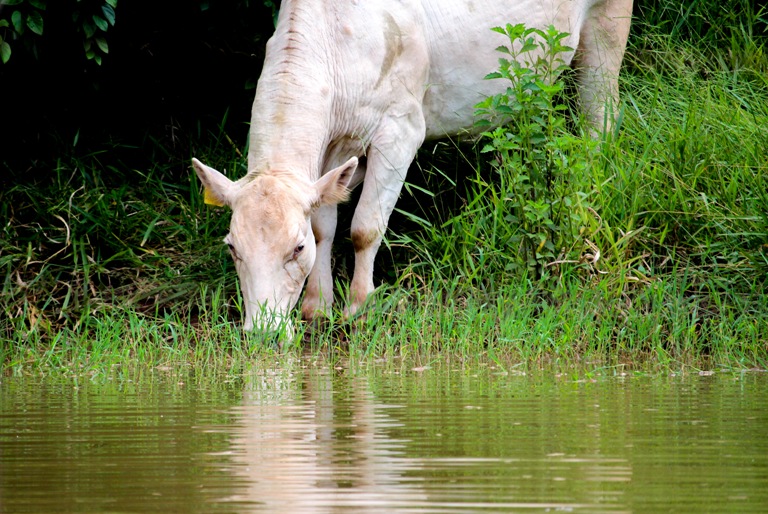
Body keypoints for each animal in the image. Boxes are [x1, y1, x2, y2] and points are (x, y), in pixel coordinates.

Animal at [190, 0, 632, 332]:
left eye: (295, 249)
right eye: (232, 247)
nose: (262, 332)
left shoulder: (400, 128)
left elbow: (365, 227)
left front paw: (359, 307)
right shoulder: (333, 152)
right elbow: (324, 225)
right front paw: (318, 308)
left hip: (607, 24)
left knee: (600, 119)